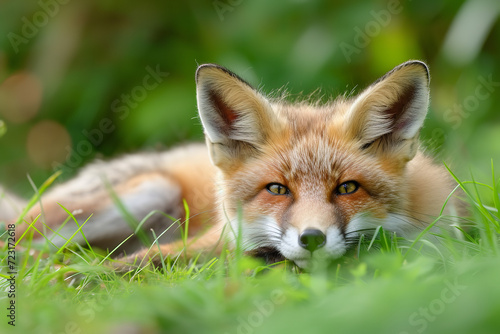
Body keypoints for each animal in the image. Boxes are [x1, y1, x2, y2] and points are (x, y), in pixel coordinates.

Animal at [0, 61, 460, 268]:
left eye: (347, 188)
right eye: (277, 189)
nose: (311, 238)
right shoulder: (221, 239)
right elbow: (147, 260)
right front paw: (86, 278)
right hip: (144, 191)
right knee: (28, 247)